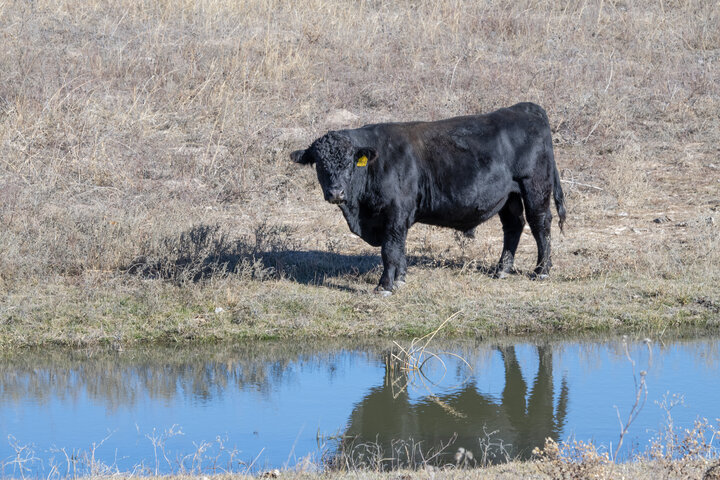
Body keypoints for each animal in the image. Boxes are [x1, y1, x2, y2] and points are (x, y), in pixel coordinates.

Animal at [290, 102, 566, 296]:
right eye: (320, 164)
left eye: (349, 163)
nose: (336, 192)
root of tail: (525, 108)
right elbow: (398, 249)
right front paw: (400, 279)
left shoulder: (395, 213)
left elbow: (390, 249)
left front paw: (385, 286)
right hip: (509, 196)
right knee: (513, 226)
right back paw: (502, 270)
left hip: (535, 187)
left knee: (540, 224)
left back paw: (541, 270)